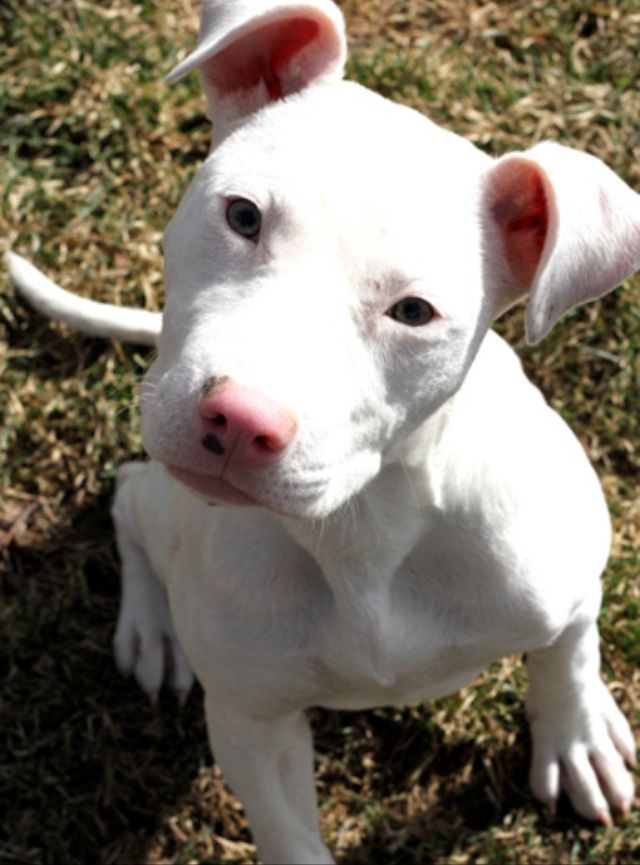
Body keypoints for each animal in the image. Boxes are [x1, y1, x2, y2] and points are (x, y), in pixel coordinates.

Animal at [6, 1, 640, 864]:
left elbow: (568, 647)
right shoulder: (253, 723)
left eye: (414, 311)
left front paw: (577, 736)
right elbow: (288, 834)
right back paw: (153, 627)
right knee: (132, 492)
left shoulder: (567, 569)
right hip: (170, 507)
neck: (363, 526)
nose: (241, 419)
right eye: (242, 216)